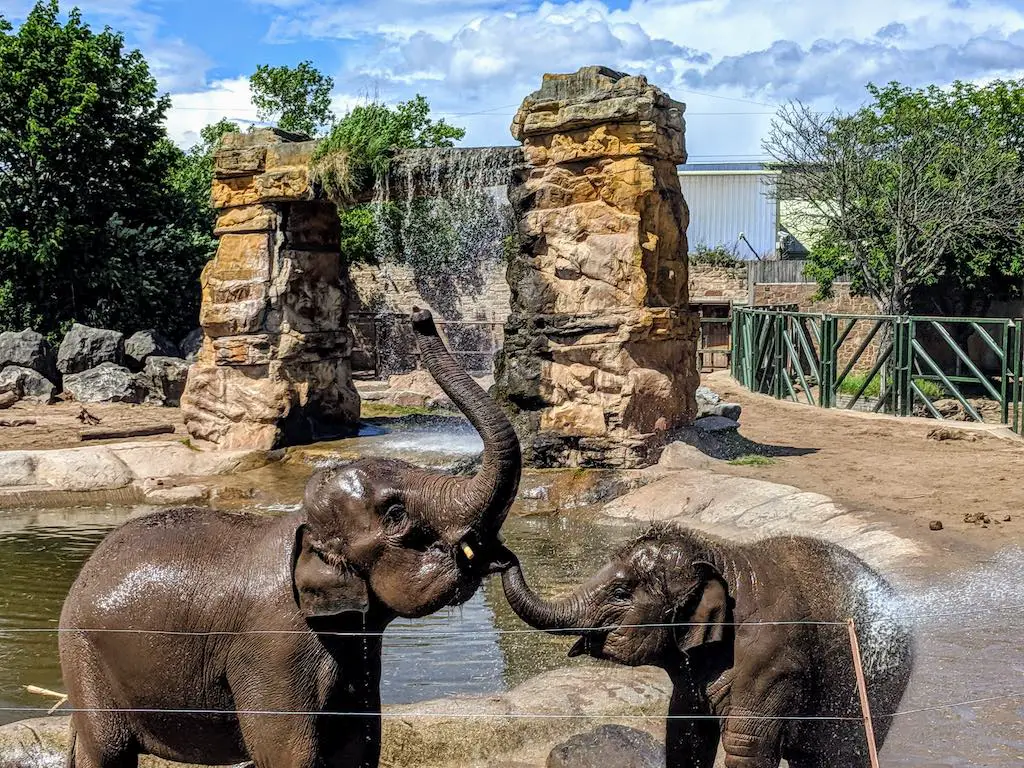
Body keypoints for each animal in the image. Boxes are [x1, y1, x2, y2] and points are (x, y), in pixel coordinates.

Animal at [57, 309, 520, 768]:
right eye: (395, 516)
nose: (420, 316)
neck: (303, 525)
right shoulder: (273, 647)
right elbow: (288, 754)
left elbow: (360, 747)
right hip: (85, 656)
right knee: (107, 751)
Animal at [499, 528, 917, 768]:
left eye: (620, 593)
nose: (500, 554)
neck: (723, 557)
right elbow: (685, 736)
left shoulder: (772, 661)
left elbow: (746, 746)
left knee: (842, 754)